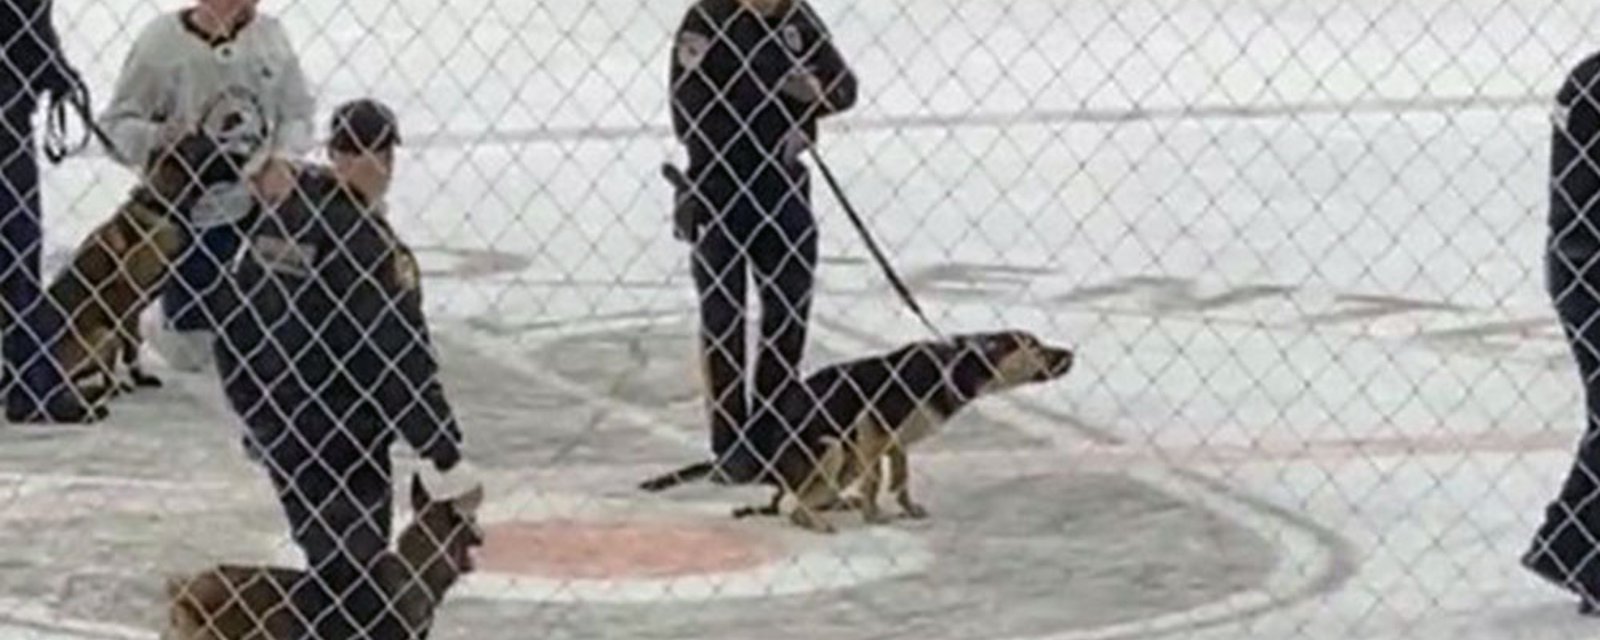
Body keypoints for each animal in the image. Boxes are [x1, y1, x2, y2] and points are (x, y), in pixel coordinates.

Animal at [46, 132, 244, 412]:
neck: (159, 204)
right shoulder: (126, 301)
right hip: (104, 335)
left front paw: (139, 377)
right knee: (93, 379)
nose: (243, 157)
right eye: (211, 151)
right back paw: (108, 390)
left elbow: (134, 348)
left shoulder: (131, 315)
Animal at [640, 332, 1075, 531]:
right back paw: (819, 519)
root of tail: (759, 457)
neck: (954, 369)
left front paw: (905, 507)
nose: (1070, 353)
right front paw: (873, 513)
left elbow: (900, 478)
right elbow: (876, 481)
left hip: (842, 457)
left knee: (802, 497)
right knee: (795, 507)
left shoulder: (893, 443)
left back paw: (835, 503)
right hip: (832, 447)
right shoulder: (872, 430)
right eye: (1034, 346)